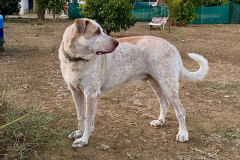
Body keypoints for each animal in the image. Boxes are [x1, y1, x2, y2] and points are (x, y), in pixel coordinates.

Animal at [58, 17, 208, 148]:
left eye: (101, 30)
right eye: (96, 32)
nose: (117, 43)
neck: (76, 60)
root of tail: (172, 46)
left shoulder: (91, 94)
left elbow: (88, 120)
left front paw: (83, 140)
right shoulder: (76, 92)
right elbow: (80, 116)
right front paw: (78, 133)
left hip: (168, 84)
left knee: (181, 111)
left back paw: (183, 134)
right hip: (155, 83)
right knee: (164, 103)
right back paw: (160, 121)